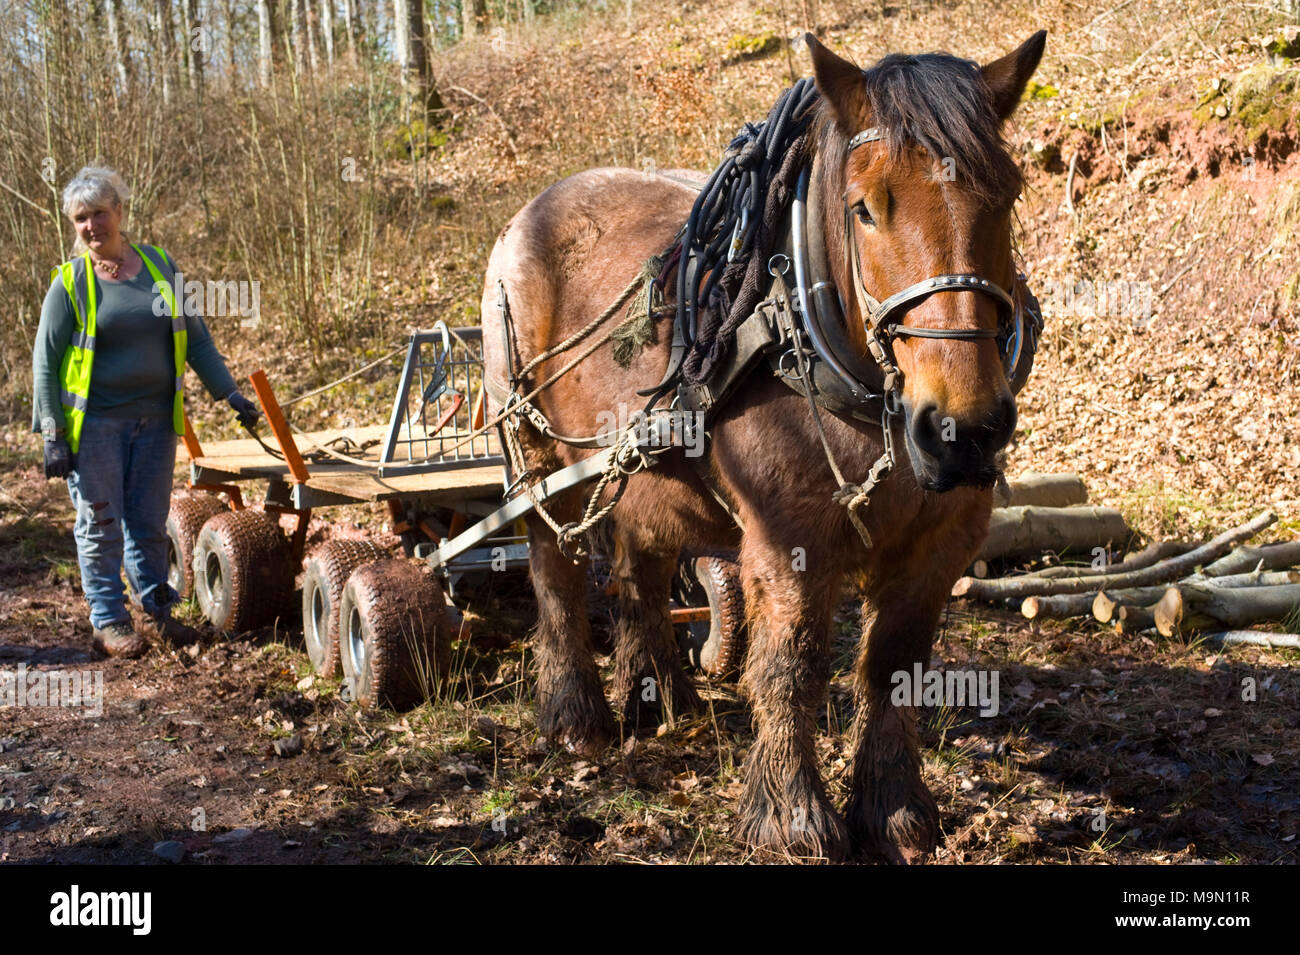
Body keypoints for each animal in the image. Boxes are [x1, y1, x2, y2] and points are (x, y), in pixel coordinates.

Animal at [480, 30, 1047, 862]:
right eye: (864, 208)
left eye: (1006, 197)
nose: (962, 428)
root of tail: (526, 214)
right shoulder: (787, 537)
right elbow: (792, 663)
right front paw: (792, 814)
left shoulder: (942, 540)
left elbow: (895, 663)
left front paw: (894, 808)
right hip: (535, 451)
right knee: (555, 564)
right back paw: (575, 716)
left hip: (639, 466)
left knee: (640, 565)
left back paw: (659, 693)